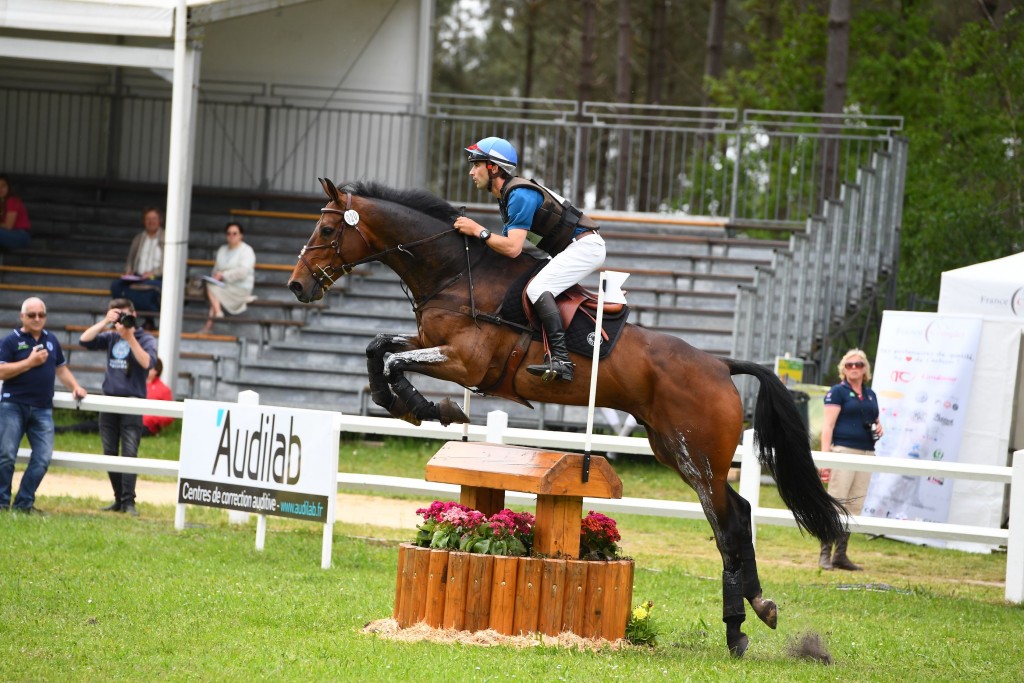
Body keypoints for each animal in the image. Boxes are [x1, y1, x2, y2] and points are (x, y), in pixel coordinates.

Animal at [288, 176, 847, 655]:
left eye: (328, 230)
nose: (296, 287)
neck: (454, 273)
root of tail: (720, 365)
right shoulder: (431, 344)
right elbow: (378, 348)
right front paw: (410, 405)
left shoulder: (464, 361)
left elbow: (390, 359)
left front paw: (427, 405)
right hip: (676, 450)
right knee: (741, 514)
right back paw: (760, 607)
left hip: (699, 457)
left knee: (728, 527)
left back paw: (737, 630)